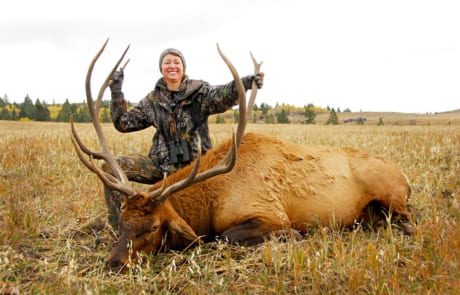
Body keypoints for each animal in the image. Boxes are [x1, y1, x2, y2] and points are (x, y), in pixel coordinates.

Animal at [70, 40, 416, 272]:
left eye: (154, 227)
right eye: (123, 222)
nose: (114, 263)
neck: (212, 202)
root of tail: (405, 178)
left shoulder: (270, 214)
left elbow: (224, 236)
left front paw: (292, 236)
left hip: (392, 196)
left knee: (410, 221)